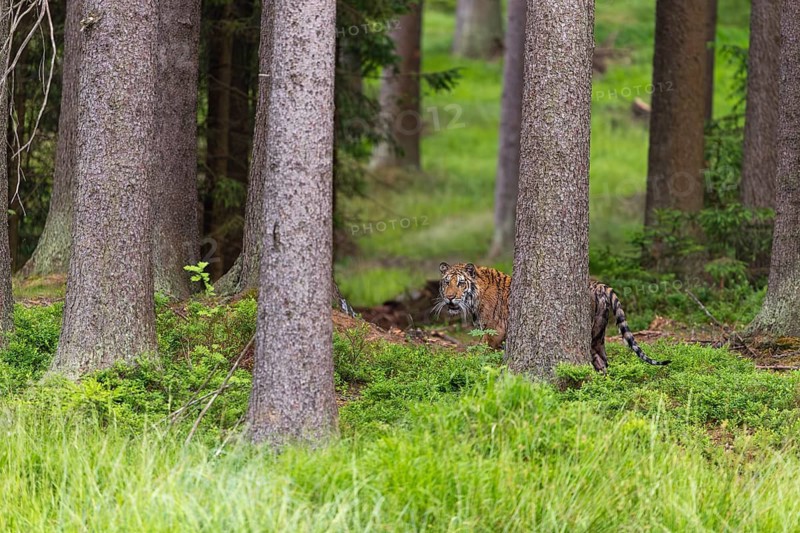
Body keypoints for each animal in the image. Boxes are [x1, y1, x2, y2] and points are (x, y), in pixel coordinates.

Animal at [433, 262, 670, 372]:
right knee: (603, 361)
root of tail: (598, 284)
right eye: (446, 282)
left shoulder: (494, 332)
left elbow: (482, 354)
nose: (450, 298)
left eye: (460, 283)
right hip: (598, 335)